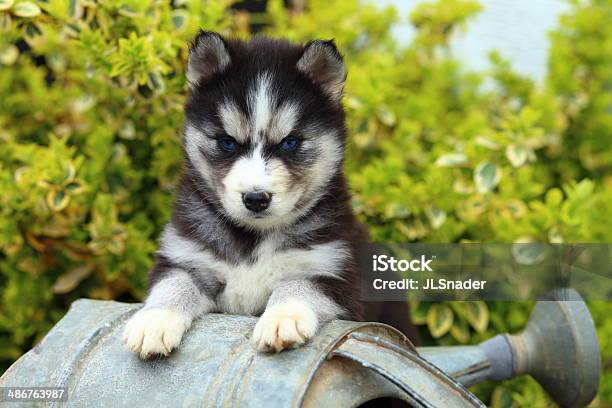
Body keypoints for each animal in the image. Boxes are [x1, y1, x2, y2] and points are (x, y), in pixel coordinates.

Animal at [124, 31, 402, 356]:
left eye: (290, 142)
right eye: (227, 142)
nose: (256, 199)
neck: (252, 239)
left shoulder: (335, 275)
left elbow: (298, 287)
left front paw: (283, 318)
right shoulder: (185, 259)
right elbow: (173, 285)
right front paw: (154, 321)